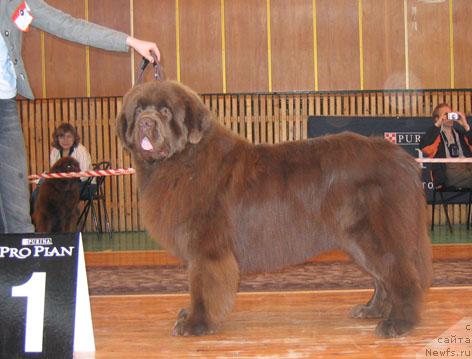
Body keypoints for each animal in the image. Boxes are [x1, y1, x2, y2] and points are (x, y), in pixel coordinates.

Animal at [117, 80, 432, 338]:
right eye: (139, 110)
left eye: (165, 111)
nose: (146, 123)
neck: (183, 161)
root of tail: (400, 157)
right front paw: (189, 316)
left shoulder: (207, 248)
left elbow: (203, 287)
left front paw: (196, 323)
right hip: (357, 241)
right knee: (382, 278)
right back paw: (372, 311)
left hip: (375, 234)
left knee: (401, 274)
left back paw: (398, 324)